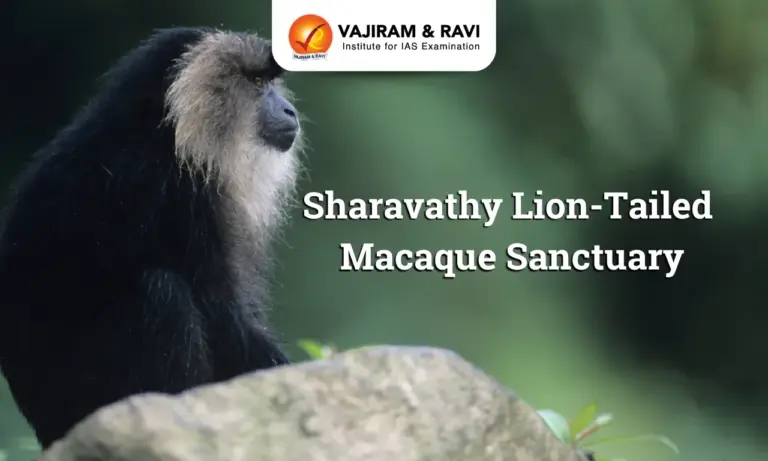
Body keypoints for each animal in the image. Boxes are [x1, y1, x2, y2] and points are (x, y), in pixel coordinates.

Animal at [0, 27, 305, 448]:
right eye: (256, 82)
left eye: (271, 82)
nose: (289, 111)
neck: (169, 136)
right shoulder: (170, 191)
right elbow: (226, 321)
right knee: (161, 291)